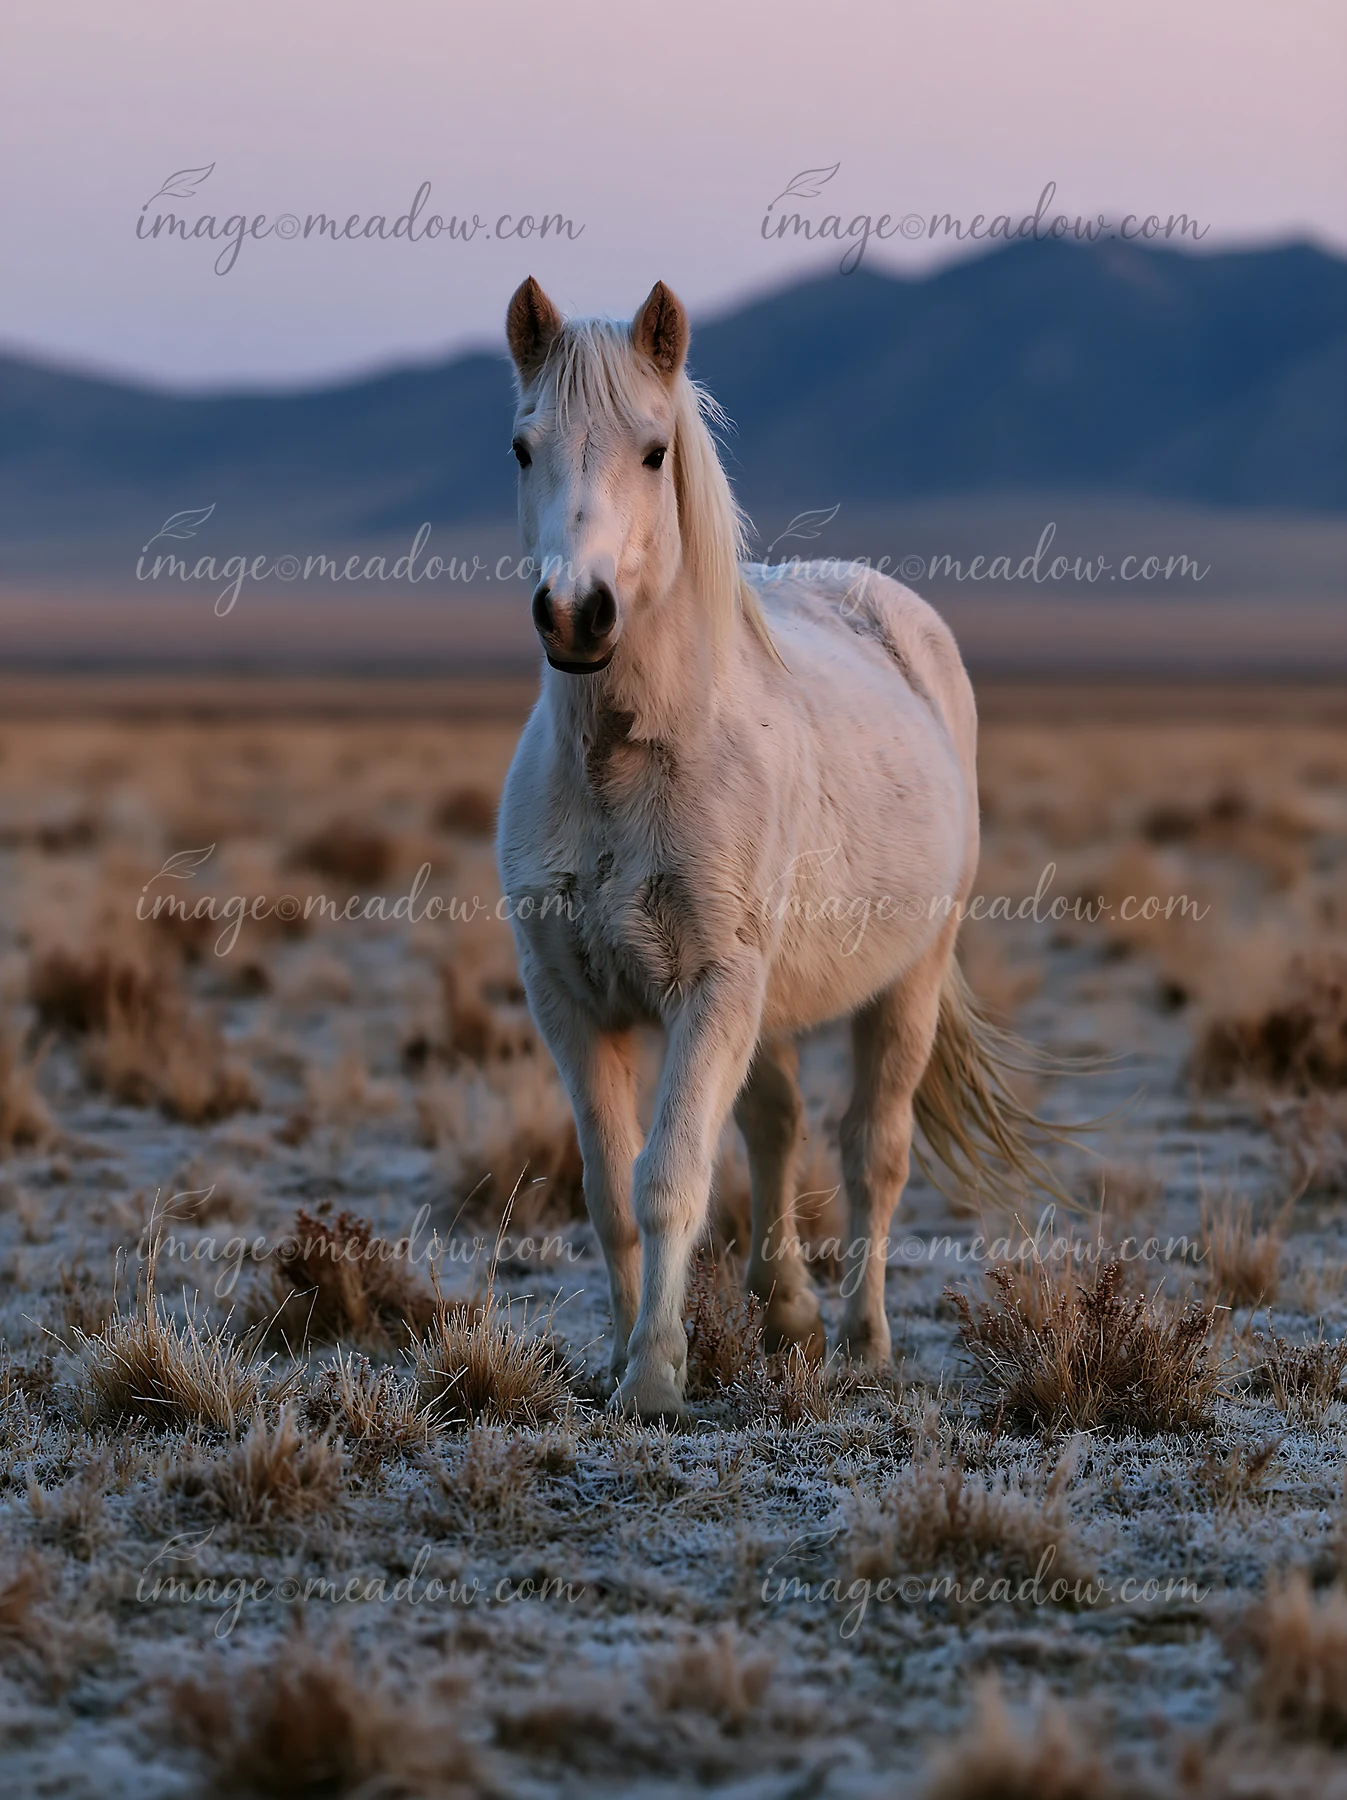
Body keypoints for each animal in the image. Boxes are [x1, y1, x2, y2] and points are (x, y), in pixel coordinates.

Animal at [496, 275, 1053, 1422]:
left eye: (654, 451)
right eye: (523, 448)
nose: (575, 614)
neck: (626, 763)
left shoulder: (712, 985)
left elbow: (670, 1180)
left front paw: (655, 1378)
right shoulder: (571, 1003)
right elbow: (610, 1191)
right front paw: (618, 1357)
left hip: (904, 982)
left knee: (871, 1153)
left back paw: (862, 1341)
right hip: (772, 1001)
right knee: (778, 1125)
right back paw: (787, 1309)